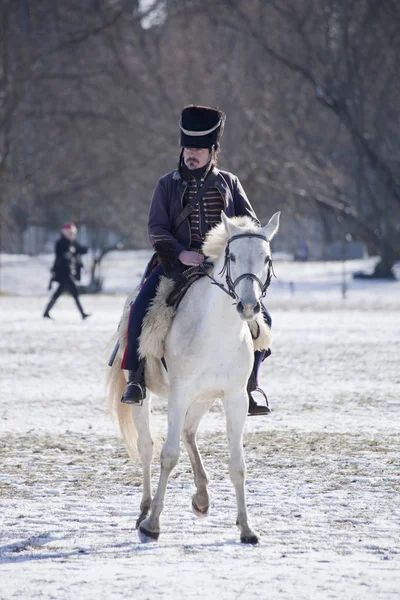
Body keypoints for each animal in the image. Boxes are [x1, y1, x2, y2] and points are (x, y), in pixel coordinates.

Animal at [108, 211, 280, 544]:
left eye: (266, 258)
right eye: (232, 256)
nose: (249, 306)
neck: (217, 330)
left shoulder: (235, 399)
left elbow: (238, 464)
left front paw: (246, 528)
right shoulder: (179, 394)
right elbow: (168, 454)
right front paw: (152, 525)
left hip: (204, 398)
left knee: (189, 432)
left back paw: (201, 496)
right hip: (145, 399)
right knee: (148, 446)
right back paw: (144, 510)